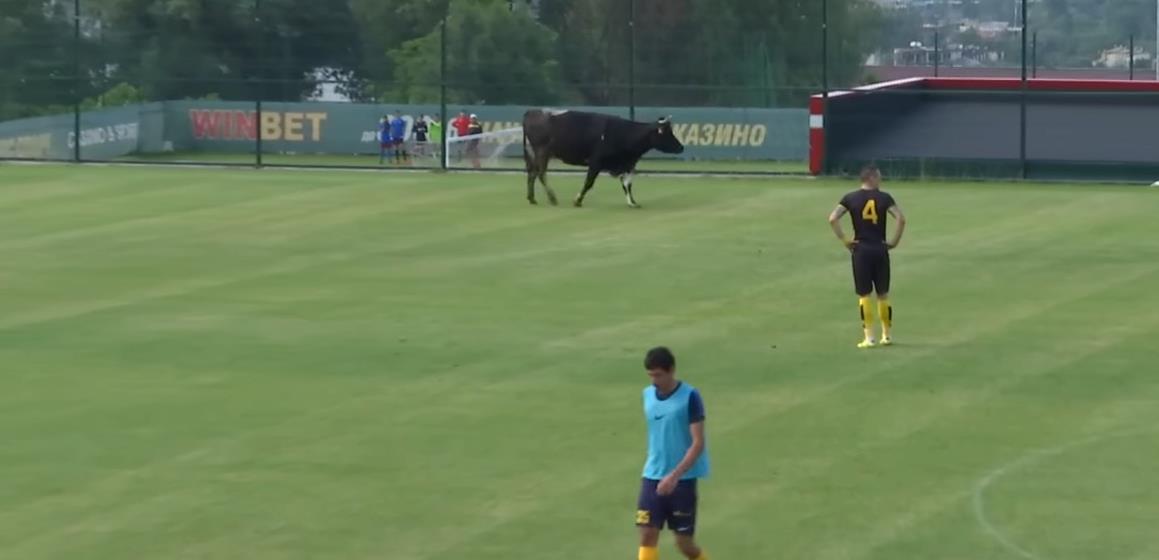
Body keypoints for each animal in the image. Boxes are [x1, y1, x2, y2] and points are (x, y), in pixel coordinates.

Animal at [521, 109, 681, 208]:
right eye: (667, 133)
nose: (681, 147)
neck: (622, 133)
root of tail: (532, 111)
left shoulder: (627, 164)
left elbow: (627, 184)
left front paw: (632, 202)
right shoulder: (596, 162)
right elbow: (588, 182)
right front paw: (578, 200)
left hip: (534, 152)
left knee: (532, 173)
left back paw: (532, 198)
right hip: (542, 151)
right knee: (540, 173)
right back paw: (552, 198)